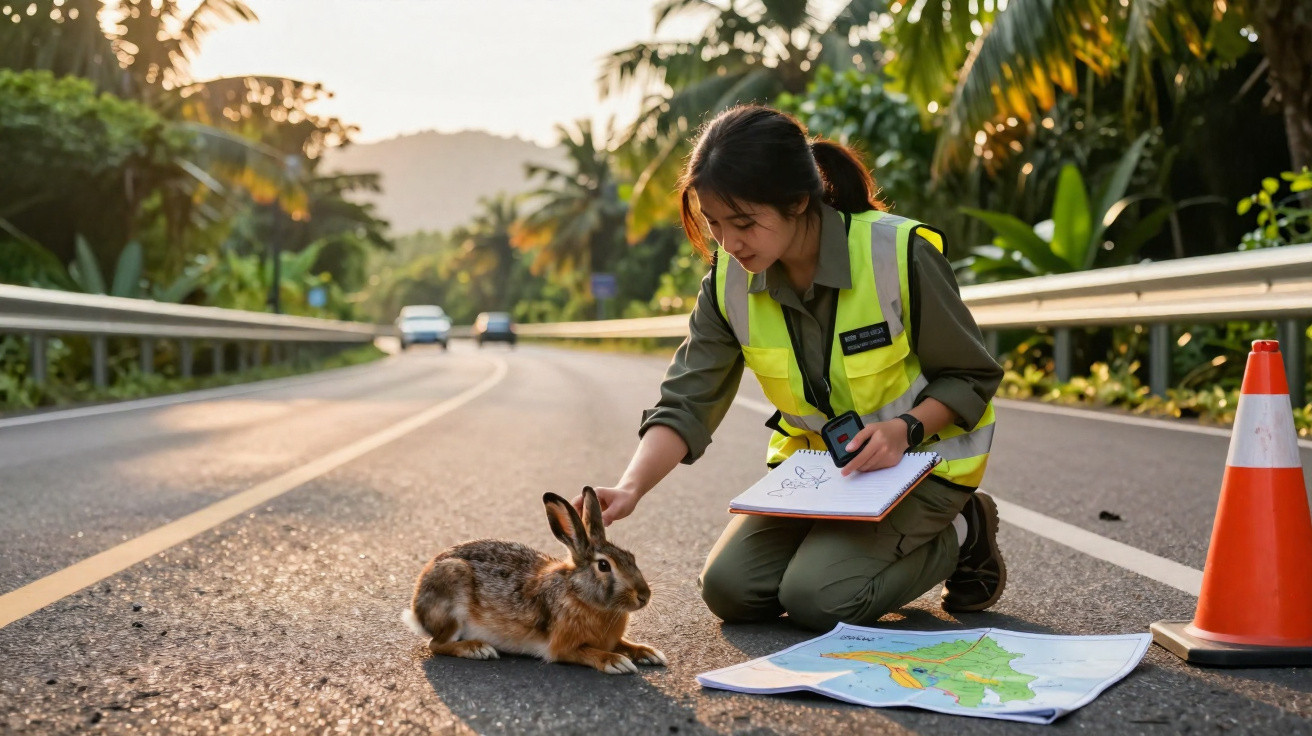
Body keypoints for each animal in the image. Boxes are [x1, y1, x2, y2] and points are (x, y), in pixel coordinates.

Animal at [402, 487, 667, 674]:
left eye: (631, 557)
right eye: (604, 566)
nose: (644, 596)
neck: (578, 593)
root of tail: (417, 611)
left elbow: (624, 643)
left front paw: (649, 653)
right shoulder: (563, 647)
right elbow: (588, 653)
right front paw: (616, 662)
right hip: (452, 591)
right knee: (436, 644)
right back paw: (477, 648)